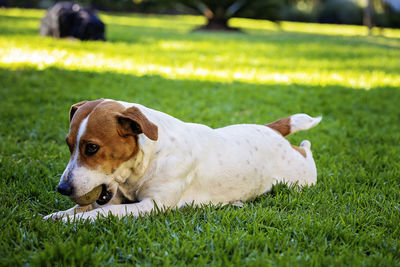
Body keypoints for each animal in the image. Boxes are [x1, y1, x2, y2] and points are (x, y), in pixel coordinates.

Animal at [43, 98, 322, 222]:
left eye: (91, 148)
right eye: (69, 145)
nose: (62, 188)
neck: (148, 158)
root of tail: (271, 129)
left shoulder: (152, 206)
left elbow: (104, 211)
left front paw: (72, 219)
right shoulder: (117, 196)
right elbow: (86, 207)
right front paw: (59, 214)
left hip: (301, 178)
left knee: (307, 152)